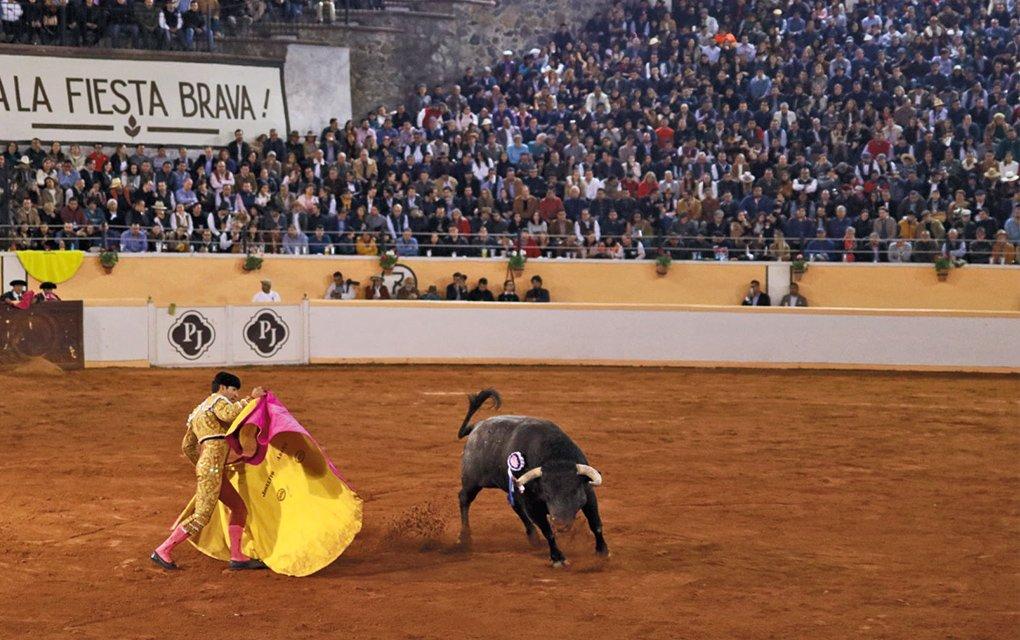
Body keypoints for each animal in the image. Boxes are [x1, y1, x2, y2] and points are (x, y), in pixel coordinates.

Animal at [454, 387, 603, 567]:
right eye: (547, 494)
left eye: (574, 491)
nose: (560, 524)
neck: (556, 458)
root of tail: (477, 427)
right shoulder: (533, 505)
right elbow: (548, 532)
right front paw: (558, 558)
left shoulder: (588, 493)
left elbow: (595, 523)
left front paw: (603, 552)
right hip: (472, 481)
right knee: (464, 498)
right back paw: (465, 538)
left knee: (515, 506)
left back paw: (533, 537)